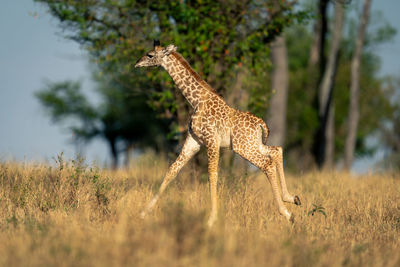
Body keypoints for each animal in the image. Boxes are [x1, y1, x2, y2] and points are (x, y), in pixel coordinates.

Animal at [134, 40, 300, 227]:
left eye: (150, 55)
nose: (137, 63)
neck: (196, 100)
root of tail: (260, 124)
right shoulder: (194, 141)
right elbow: (172, 170)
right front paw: (143, 212)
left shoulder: (211, 141)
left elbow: (212, 175)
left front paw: (212, 219)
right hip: (252, 144)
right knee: (277, 150)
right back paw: (292, 198)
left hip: (243, 147)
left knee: (267, 163)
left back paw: (287, 214)